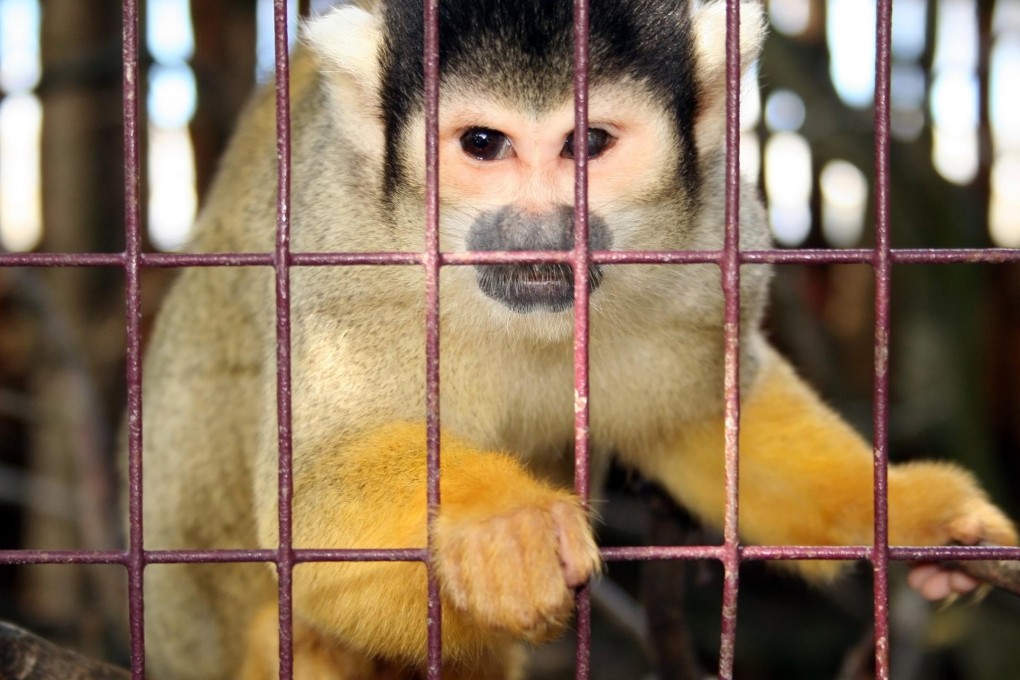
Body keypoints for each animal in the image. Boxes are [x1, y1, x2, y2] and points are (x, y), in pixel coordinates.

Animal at [134, 0, 1018, 678]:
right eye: (483, 144)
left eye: (587, 143)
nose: (538, 231)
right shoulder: (341, 246)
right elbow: (305, 504)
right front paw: (499, 526)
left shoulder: (714, 242)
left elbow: (701, 423)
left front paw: (912, 511)